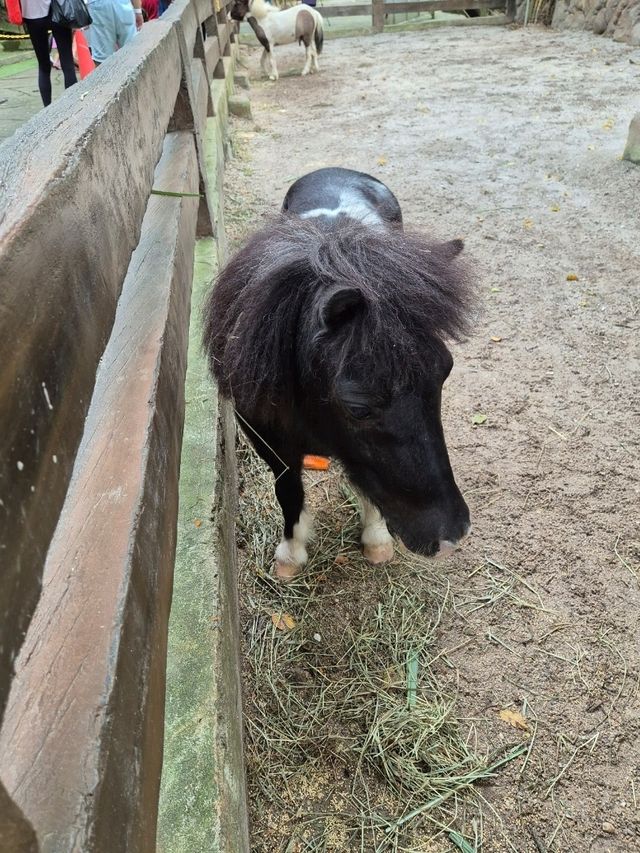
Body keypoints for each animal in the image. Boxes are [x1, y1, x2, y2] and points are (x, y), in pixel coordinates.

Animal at [205, 166, 476, 580]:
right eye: (358, 407)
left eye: (445, 373)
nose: (450, 535)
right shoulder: (268, 440)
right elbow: (289, 490)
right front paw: (291, 554)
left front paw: (376, 539)